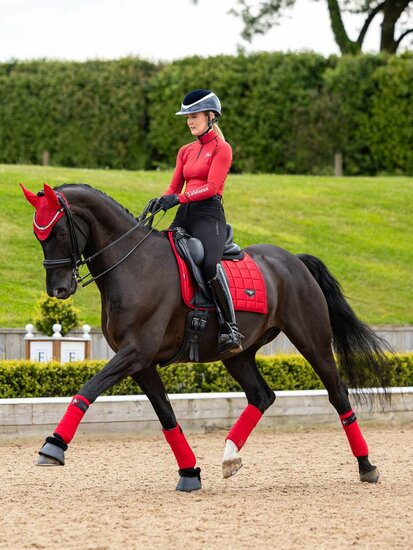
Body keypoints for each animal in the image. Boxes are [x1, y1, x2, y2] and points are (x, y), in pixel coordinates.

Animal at [21, 183, 390, 494]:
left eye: (58, 230)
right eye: (38, 235)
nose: (58, 290)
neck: (133, 265)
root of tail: (293, 260)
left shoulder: (135, 353)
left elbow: (88, 389)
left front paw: (54, 445)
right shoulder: (141, 364)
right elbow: (167, 416)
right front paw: (189, 473)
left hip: (312, 342)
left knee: (338, 394)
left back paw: (366, 466)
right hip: (238, 354)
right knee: (262, 396)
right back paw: (229, 457)